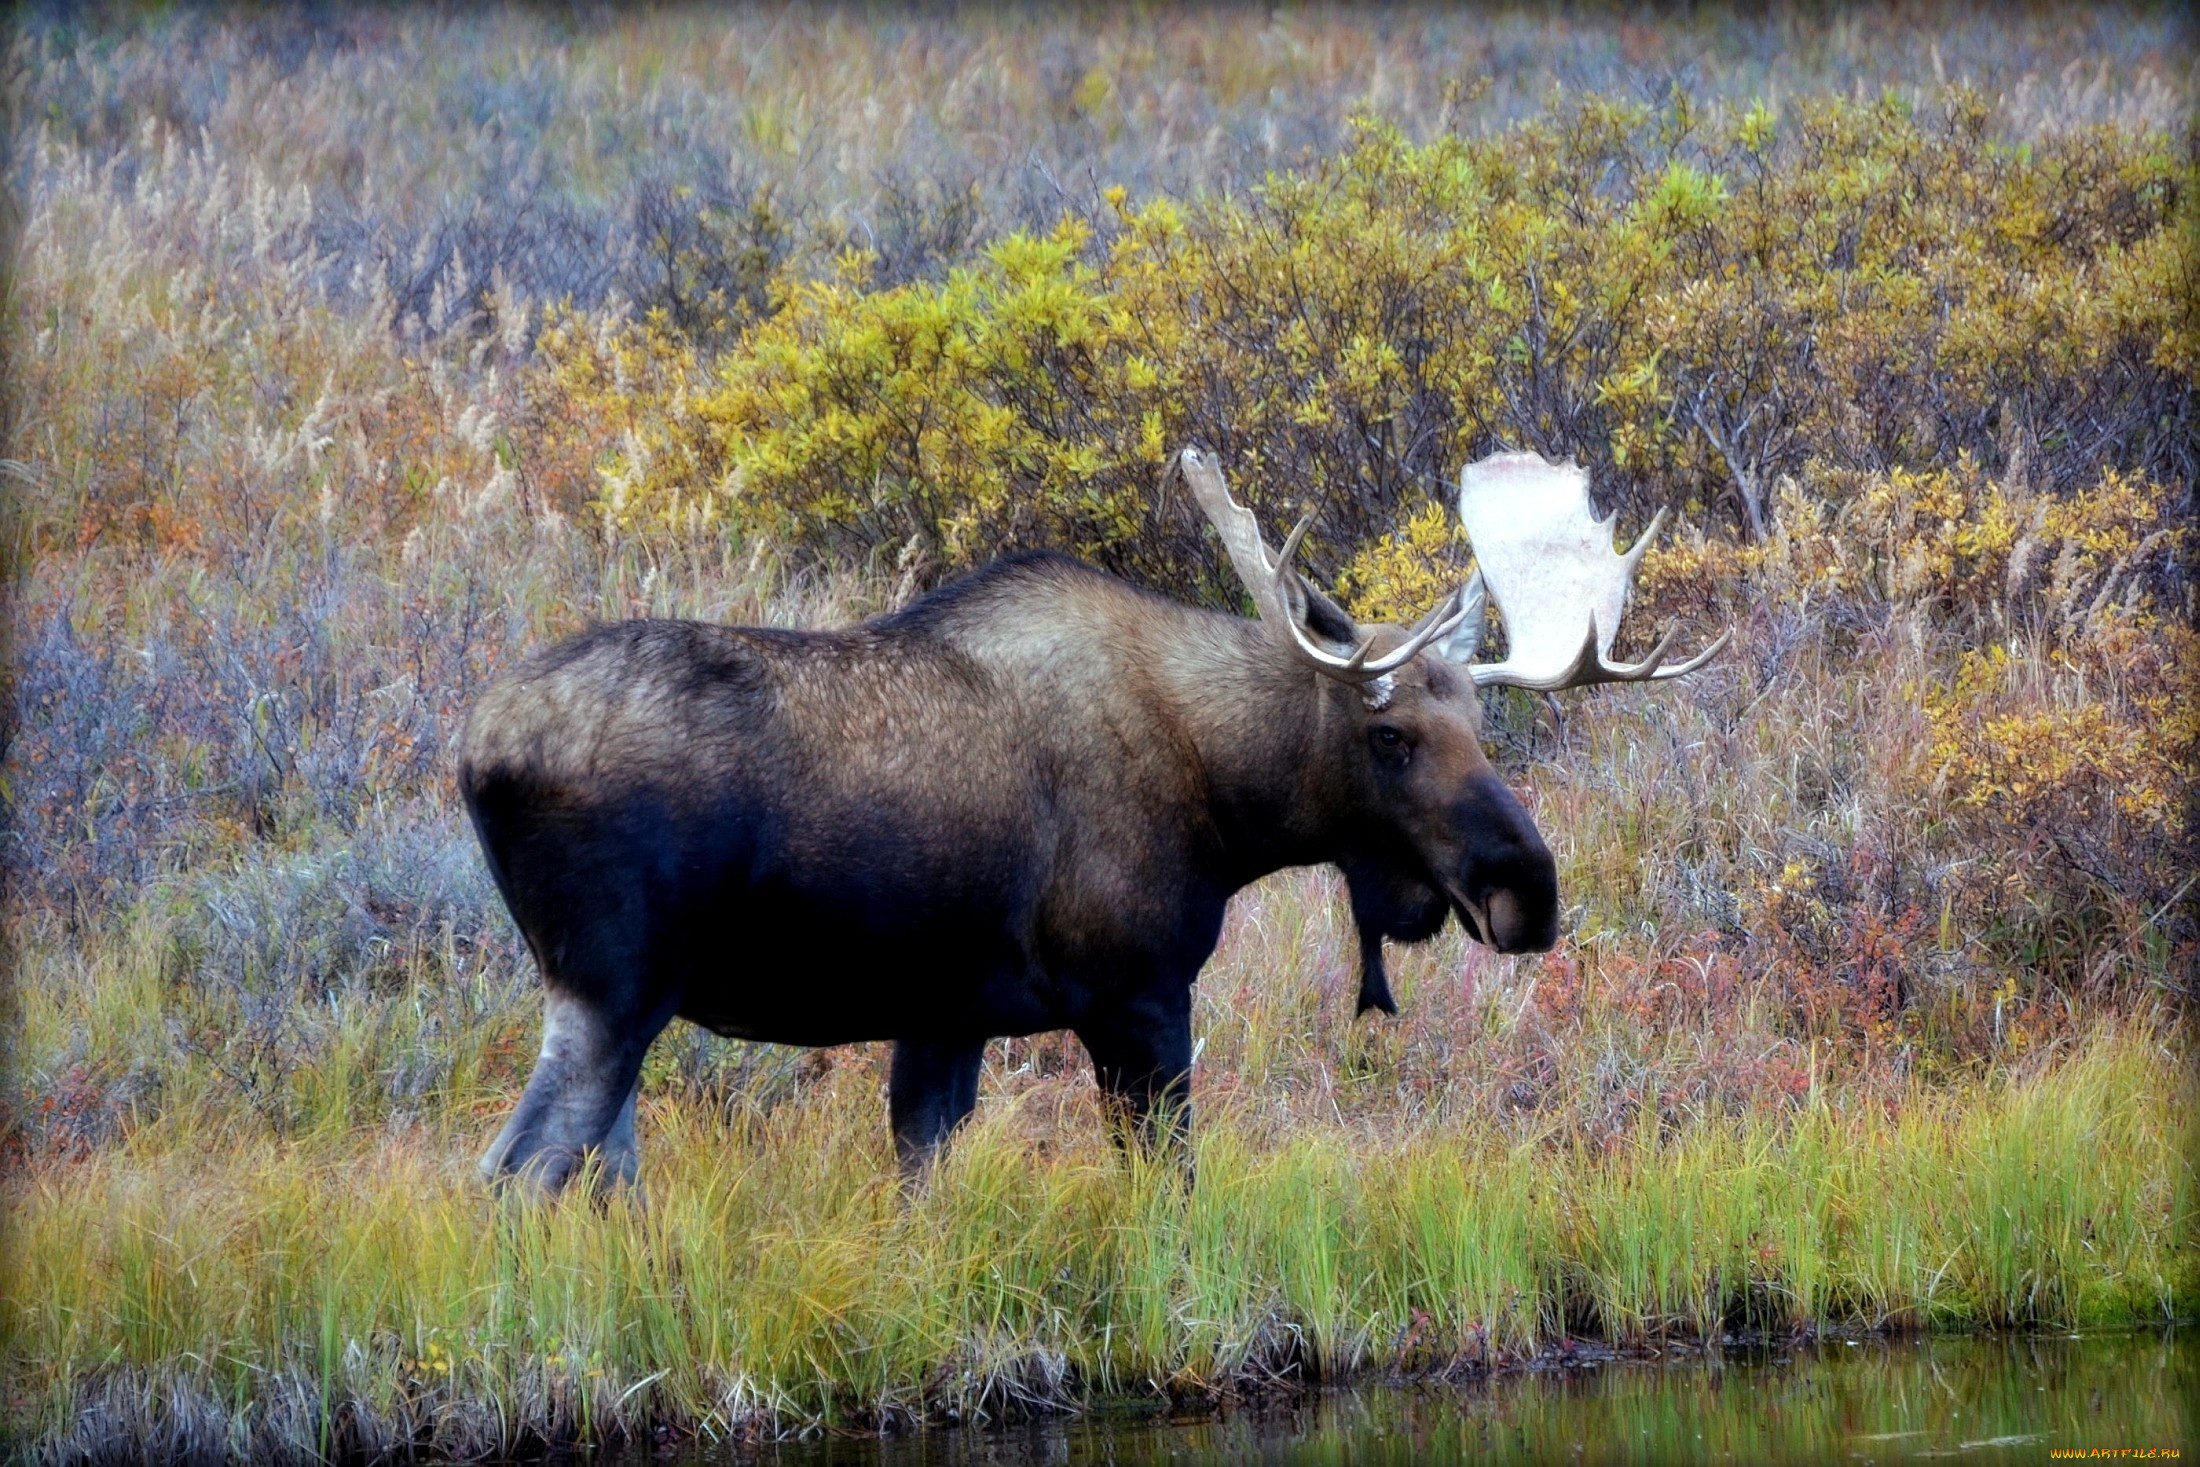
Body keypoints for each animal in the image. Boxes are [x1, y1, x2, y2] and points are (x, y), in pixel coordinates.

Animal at [464, 450, 1724, 1196]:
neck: (1227, 801)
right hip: (613, 989)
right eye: (1390, 737)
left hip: (616, 1006)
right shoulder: (1139, 996)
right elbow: (1169, 1194)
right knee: (517, 1170)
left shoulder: (944, 1019)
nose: (1528, 888)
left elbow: (918, 1185)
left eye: (1482, 722)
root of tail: (478, 753)